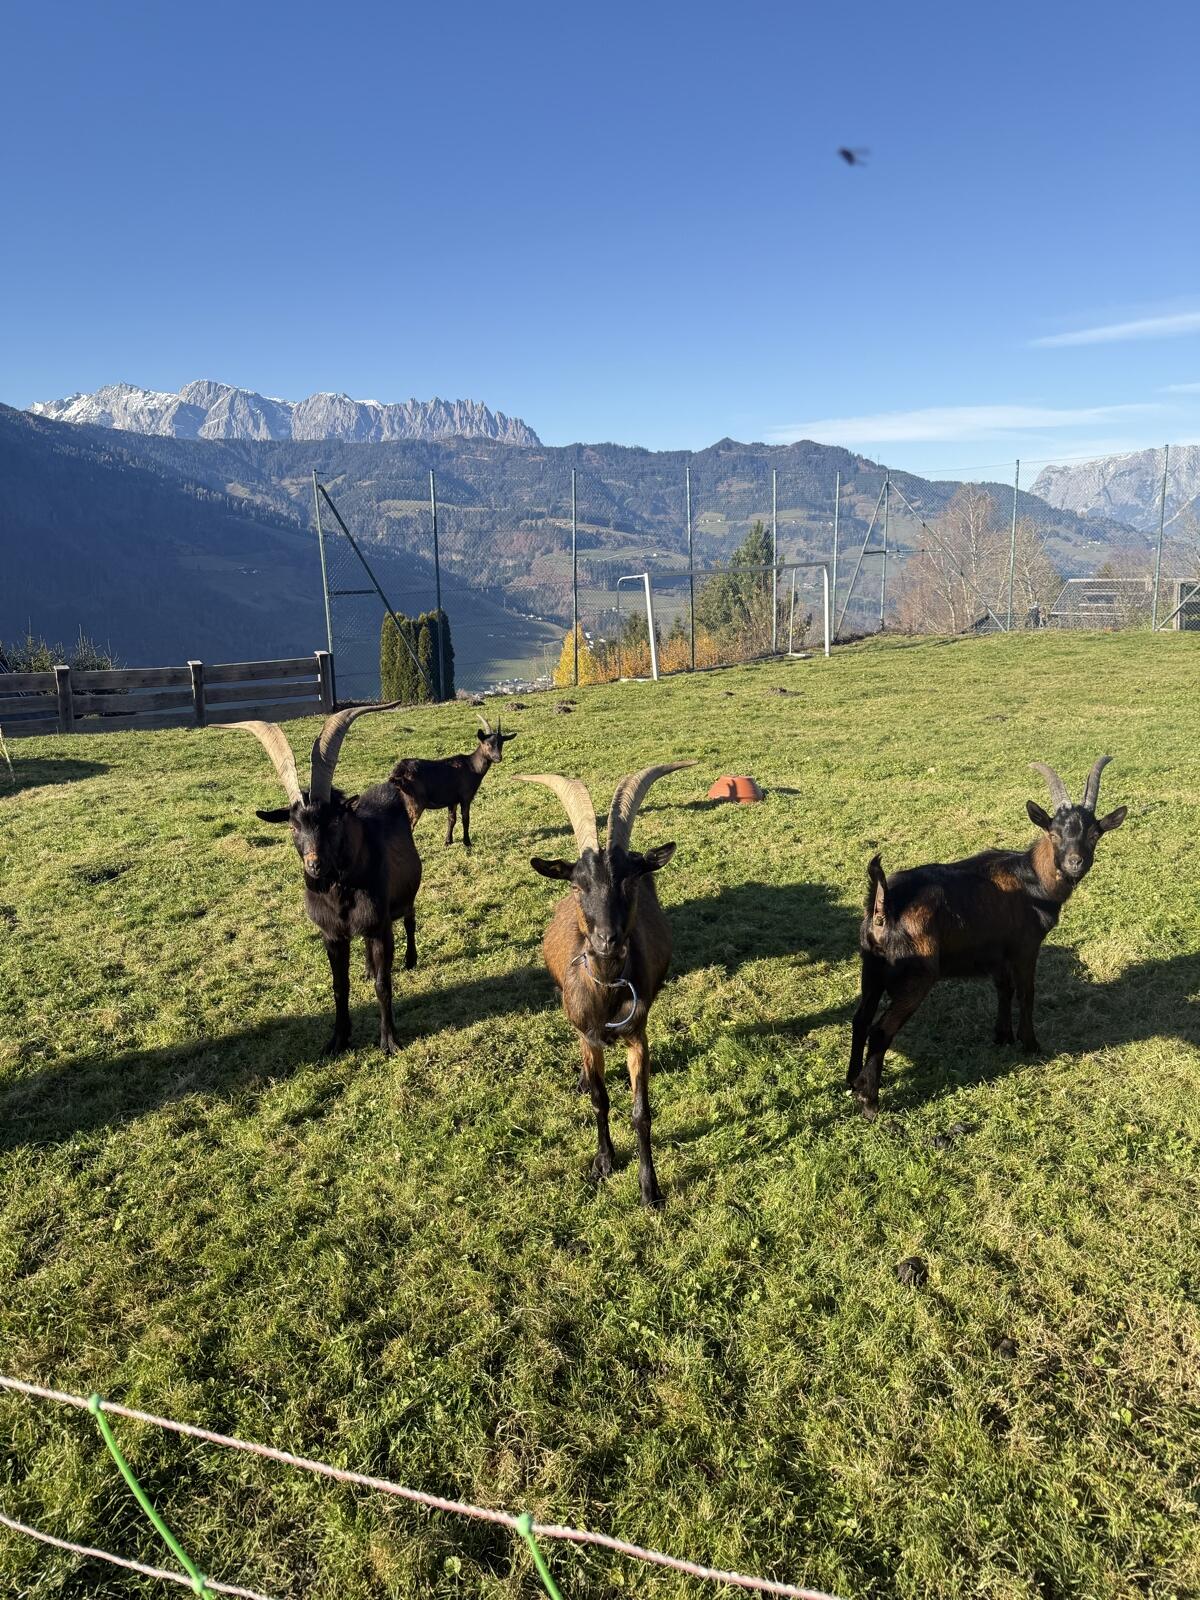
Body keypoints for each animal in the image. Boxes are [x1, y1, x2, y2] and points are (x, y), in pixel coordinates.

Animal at [227, 705, 422, 1056]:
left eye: (333, 821)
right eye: (293, 826)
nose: (314, 866)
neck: (341, 893)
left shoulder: (379, 926)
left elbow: (383, 984)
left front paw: (389, 1041)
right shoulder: (331, 934)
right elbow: (339, 986)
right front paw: (337, 1041)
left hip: (405, 898)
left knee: (410, 919)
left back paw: (410, 959)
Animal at [389, 714, 517, 847]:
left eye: (501, 743)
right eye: (487, 743)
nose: (498, 758)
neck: (472, 767)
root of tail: (398, 771)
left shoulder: (452, 800)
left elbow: (452, 819)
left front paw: (448, 841)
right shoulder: (465, 796)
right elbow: (465, 819)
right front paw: (467, 842)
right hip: (415, 802)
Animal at [520, 761, 695, 1207]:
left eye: (629, 882)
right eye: (577, 884)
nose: (607, 940)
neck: (608, 991)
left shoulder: (637, 1034)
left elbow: (641, 1113)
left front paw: (650, 1188)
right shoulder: (588, 1035)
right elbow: (600, 1100)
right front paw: (604, 1161)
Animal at [847, 756, 1126, 1119]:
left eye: (1094, 833)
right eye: (1053, 833)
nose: (1074, 863)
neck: (1032, 880)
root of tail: (885, 903)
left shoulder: (996, 953)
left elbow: (1004, 989)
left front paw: (1002, 1036)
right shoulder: (1025, 947)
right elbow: (1026, 992)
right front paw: (1031, 1044)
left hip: (871, 967)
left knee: (860, 1018)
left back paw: (851, 1082)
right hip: (916, 975)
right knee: (880, 1030)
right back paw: (870, 1101)